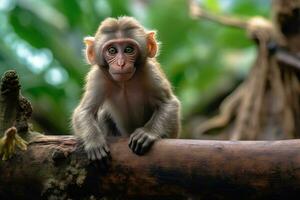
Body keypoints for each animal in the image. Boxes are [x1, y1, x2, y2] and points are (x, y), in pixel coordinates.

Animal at [72, 16, 180, 162]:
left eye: (129, 49)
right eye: (112, 51)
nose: (121, 64)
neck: (125, 83)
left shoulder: (150, 72)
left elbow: (169, 104)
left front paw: (147, 133)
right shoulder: (98, 77)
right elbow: (84, 111)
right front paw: (94, 142)